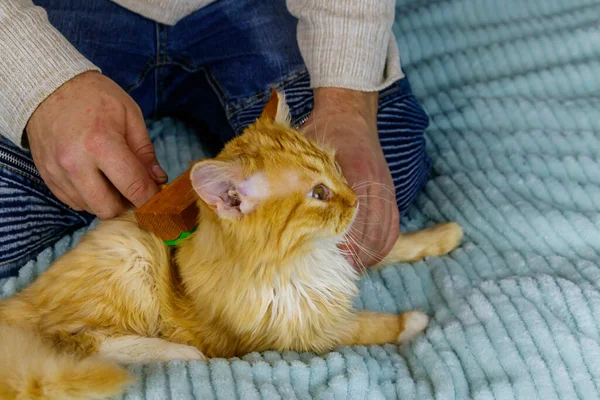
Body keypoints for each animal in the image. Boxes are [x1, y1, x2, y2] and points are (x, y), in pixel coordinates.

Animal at [0, 91, 462, 400]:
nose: (355, 200)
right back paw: (181, 353)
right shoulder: (308, 331)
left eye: (336, 168)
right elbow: (371, 326)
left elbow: (393, 248)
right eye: (318, 193)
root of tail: (17, 301)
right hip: (131, 256)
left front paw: (444, 235)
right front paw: (414, 323)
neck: (299, 261)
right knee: (85, 343)